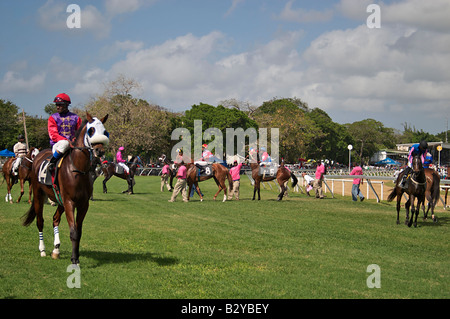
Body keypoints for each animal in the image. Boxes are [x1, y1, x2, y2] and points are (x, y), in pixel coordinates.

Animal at [21, 112, 109, 264]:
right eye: (91, 130)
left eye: (104, 131)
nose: (100, 151)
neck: (77, 169)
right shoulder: (69, 202)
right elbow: (73, 231)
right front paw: (74, 259)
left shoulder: (83, 204)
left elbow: (78, 231)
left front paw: (76, 256)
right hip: (39, 196)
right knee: (40, 221)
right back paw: (42, 250)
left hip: (59, 200)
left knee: (55, 219)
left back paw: (56, 250)